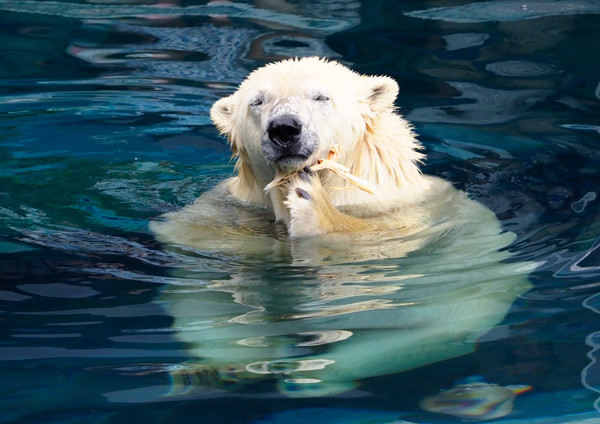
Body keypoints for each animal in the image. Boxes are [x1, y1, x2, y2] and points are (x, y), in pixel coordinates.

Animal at [149, 58, 528, 400]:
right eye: (257, 101)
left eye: (321, 96)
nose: (284, 128)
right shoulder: (226, 210)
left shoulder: (406, 212)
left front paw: (311, 204)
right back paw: (220, 369)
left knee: (423, 328)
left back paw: (311, 375)